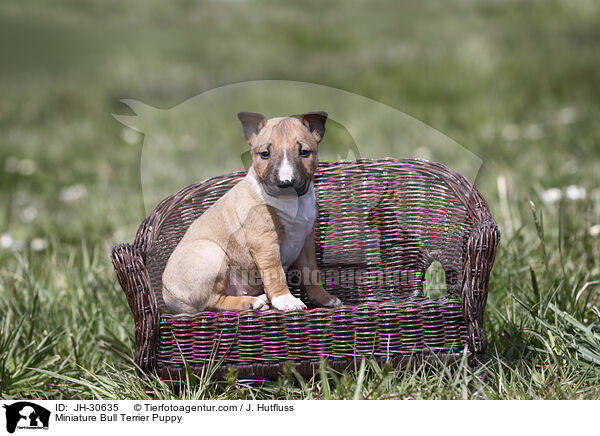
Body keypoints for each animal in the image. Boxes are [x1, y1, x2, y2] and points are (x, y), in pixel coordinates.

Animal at [162, 110, 342, 312]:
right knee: (213, 301)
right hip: (211, 254)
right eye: (265, 153)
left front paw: (325, 298)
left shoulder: (305, 242)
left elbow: (311, 273)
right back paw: (252, 302)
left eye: (304, 152)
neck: (292, 201)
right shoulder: (264, 241)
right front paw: (286, 300)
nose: (285, 182)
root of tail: (168, 296)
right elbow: (275, 272)